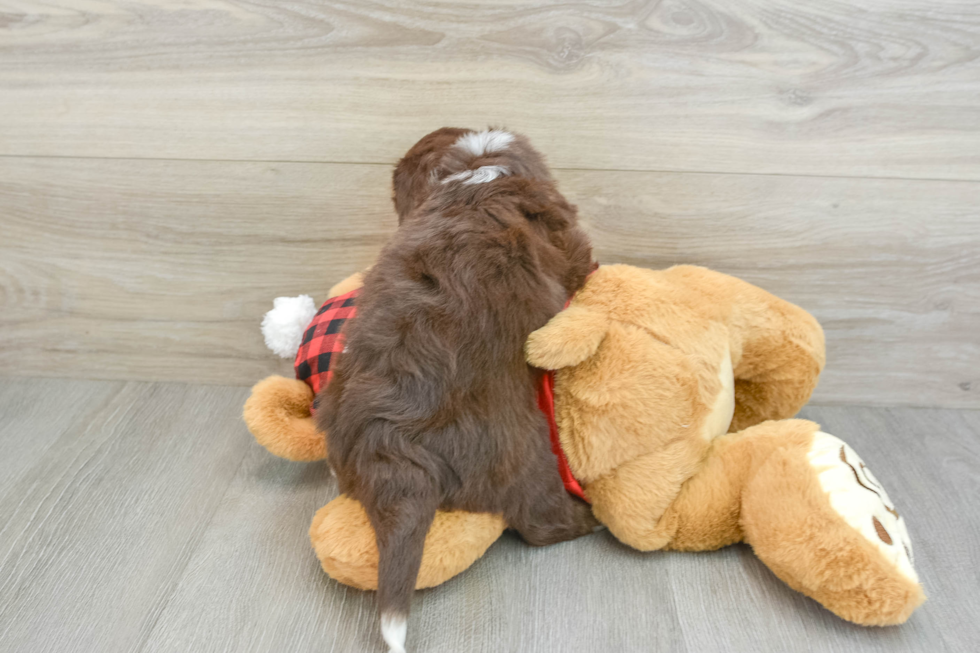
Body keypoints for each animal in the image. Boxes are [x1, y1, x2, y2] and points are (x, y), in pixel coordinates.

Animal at [322, 129, 596, 652]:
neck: (475, 173)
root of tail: (393, 445)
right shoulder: (566, 240)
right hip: (526, 458)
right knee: (540, 521)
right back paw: (586, 520)